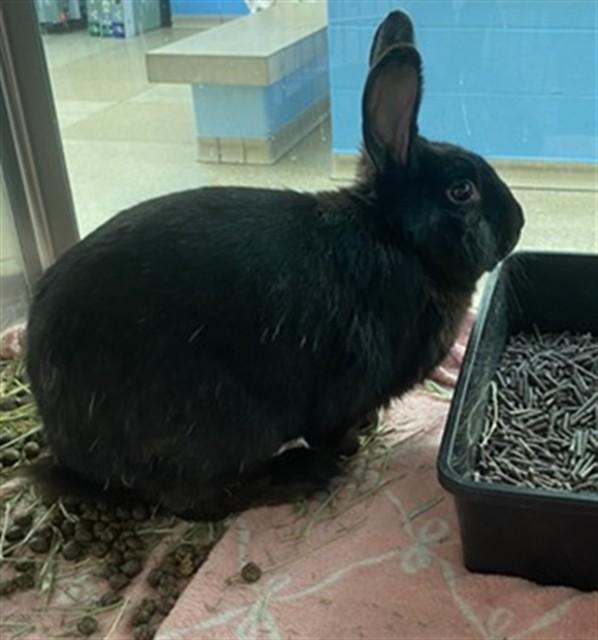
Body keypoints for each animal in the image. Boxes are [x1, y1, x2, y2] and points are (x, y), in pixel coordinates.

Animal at [25, 10, 524, 519]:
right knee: (197, 501)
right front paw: (352, 445)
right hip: (220, 422)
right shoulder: (342, 391)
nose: (519, 222)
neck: (397, 239)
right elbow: (332, 429)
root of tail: (72, 449)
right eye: (462, 191)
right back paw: (299, 474)